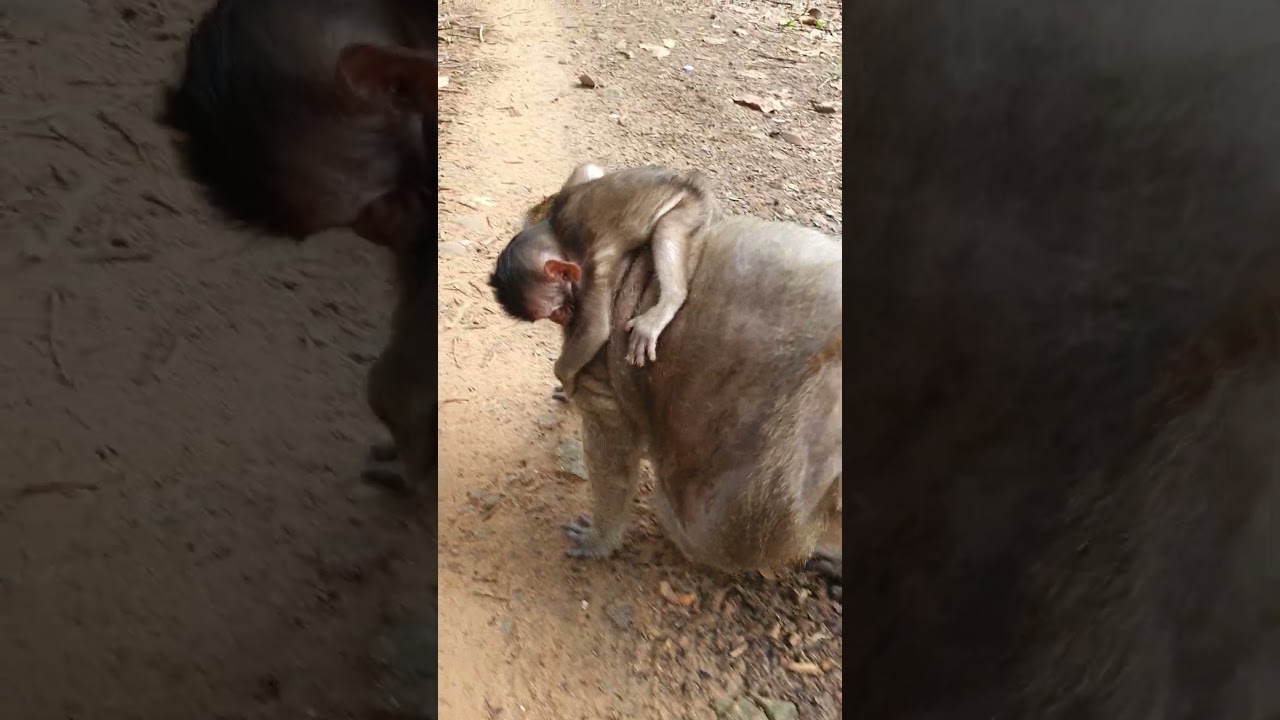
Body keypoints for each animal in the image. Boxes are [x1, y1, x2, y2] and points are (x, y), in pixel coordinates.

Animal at [489, 163, 721, 399]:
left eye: (555, 311)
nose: (562, 319)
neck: (559, 237)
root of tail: (689, 181)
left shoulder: (591, 268)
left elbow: (596, 329)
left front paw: (565, 380)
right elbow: (588, 169)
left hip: (692, 206)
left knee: (668, 228)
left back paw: (668, 302)